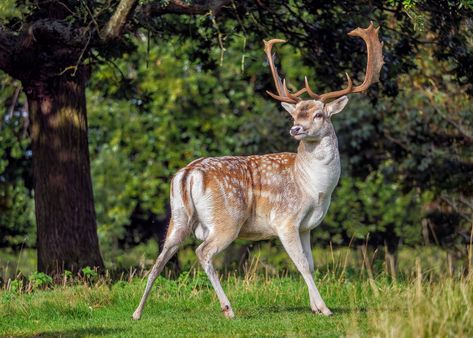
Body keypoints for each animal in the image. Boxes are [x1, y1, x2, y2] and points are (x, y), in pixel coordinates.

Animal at [132, 22, 384, 320]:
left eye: (318, 114)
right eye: (295, 114)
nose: (295, 128)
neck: (315, 187)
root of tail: (188, 174)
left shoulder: (307, 226)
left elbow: (311, 263)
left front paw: (314, 306)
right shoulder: (286, 220)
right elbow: (301, 264)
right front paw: (324, 308)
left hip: (178, 216)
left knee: (161, 256)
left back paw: (137, 312)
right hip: (226, 219)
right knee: (203, 252)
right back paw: (228, 309)